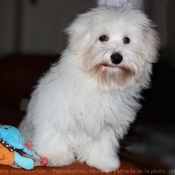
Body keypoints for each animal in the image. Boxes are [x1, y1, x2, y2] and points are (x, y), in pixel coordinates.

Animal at [18, 7, 159, 172]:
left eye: (127, 40)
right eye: (103, 38)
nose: (117, 58)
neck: (100, 83)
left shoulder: (106, 124)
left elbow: (103, 143)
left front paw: (103, 161)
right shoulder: (57, 114)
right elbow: (54, 134)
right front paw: (55, 156)